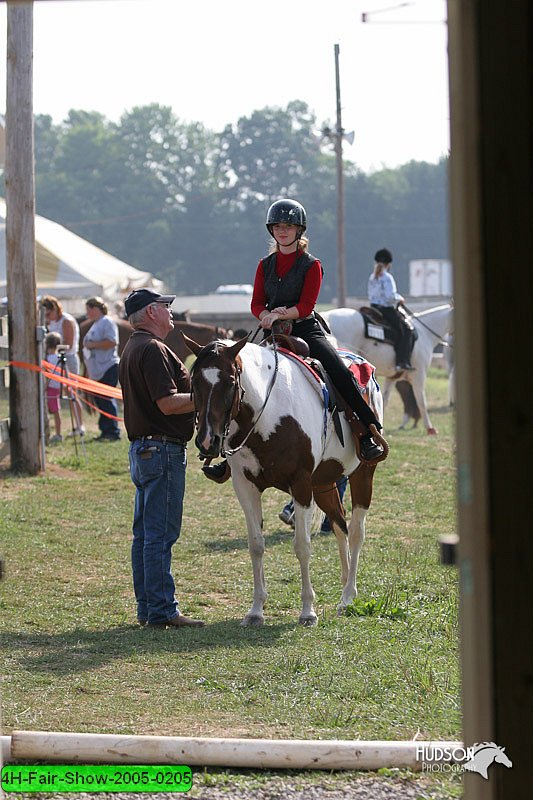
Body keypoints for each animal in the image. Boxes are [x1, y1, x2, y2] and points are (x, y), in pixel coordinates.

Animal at [187, 334, 382, 628]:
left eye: (230, 381)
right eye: (194, 381)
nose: (207, 441)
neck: (269, 415)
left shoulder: (300, 484)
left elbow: (302, 546)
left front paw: (308, 612)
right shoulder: (245, 486)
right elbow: (256, 545)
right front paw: (256, 610)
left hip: (362, 474)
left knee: (357, 532)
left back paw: (348, 597)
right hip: (323, 484)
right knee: (340, 527)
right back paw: (346, 585)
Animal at [320, 304, 454, 432]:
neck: (425, 334)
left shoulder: (392, 378)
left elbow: (384, 400)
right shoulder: (419, 375)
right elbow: (421, 401)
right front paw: (430, 428)